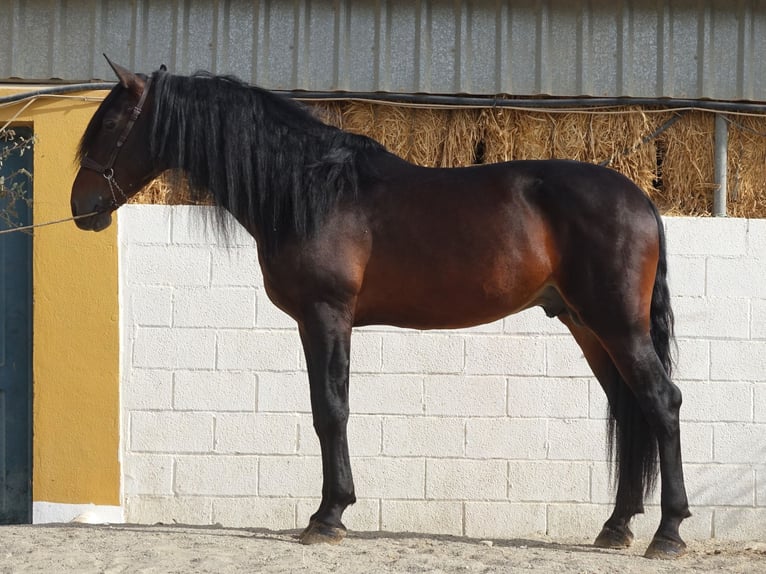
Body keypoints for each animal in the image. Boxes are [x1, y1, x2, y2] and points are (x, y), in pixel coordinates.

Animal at [72, 59, 692, 564]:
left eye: (110, 124)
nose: (81, 208)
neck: (310, 189)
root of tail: (640, 198)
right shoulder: (315, 323)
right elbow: (326, 410)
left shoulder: (326, 315)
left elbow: (331, 412)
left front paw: (328, 517)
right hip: (588, 326)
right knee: (629, 408)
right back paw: (615, 527)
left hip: (617, 325)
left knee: (661, 402)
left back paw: (668, 533)